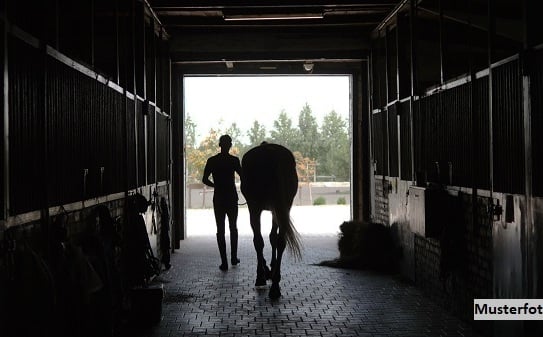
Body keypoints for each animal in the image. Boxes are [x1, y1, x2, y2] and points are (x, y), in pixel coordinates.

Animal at [241, 141, 302, 296]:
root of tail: (270, 151)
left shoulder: (255, 207)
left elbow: (260, 240)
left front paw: (262, 274)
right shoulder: (277, 209)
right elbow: (273, 237)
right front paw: (271, 269)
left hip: (257, 207)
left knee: (259, 241)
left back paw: (267, 280)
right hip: (283, 206)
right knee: (280, 241)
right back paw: (275, 285)